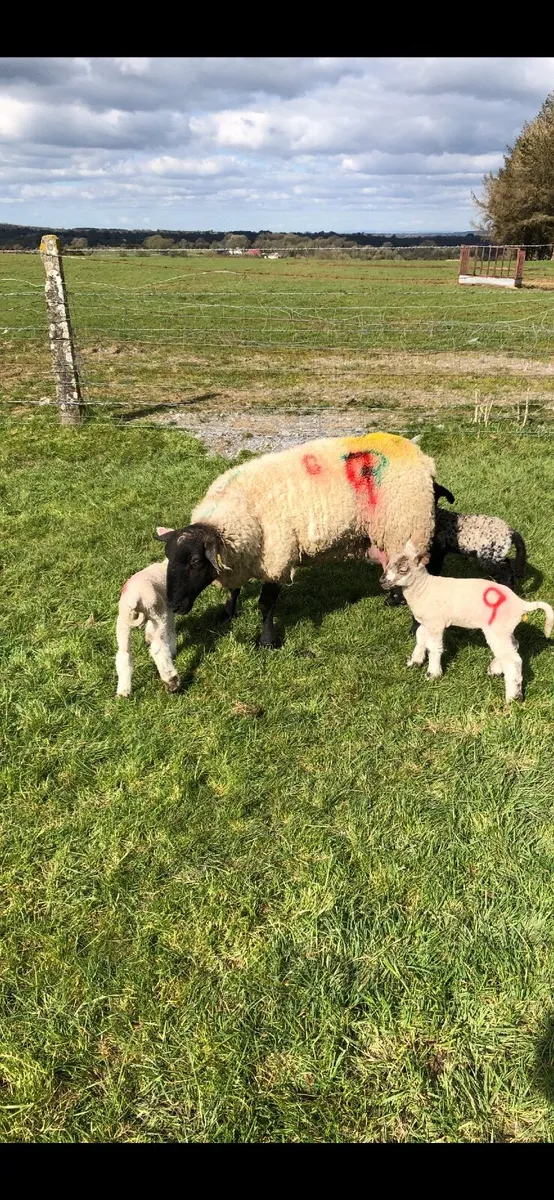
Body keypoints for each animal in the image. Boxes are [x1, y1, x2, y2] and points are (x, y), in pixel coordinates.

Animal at [115, 560, 180, 697]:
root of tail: (134, 598)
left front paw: (148, 636)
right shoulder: (167, 609)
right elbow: (170, 629)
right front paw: (172, 649)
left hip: (123, 621)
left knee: (124, 654)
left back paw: (123, 692)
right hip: (157, 612)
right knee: (158, 648)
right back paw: (171, 681)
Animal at [154, 431, 438, 648]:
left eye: (195, 561)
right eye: (169, 557)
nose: (174, 605)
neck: (236, 508)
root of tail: (420, 454)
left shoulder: (276, 558)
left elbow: (265, 605)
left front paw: (267, 642)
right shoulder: (240, 558)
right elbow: (234, 589)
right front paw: (227, 614)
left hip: (409, 527)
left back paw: (415, 626)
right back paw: (395, 599)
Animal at [380, 539, 553, 703]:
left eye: (403, 569)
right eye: (388, 563)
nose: (382, 581)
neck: (424, 588)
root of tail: (520, 603)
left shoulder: (436, 623)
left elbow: (434, 647)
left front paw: (433, 674)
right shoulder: (425, 621)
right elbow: (420, 636)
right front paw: (415, 661)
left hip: (497, 629)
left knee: (513, 660)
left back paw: (513, 698)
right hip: (504, 628)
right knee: (513, 646)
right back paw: (495, 669)